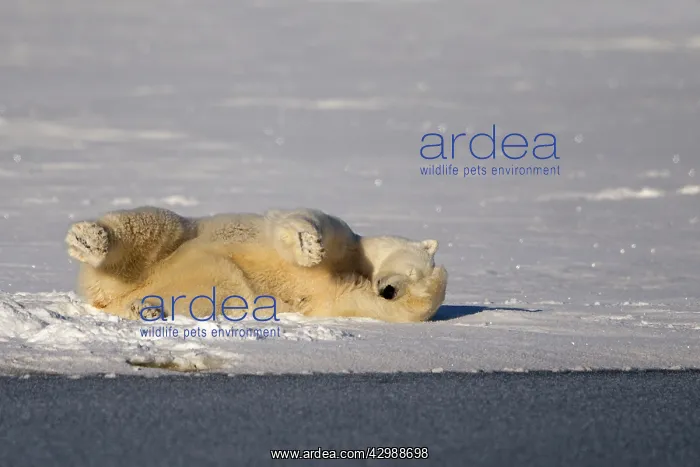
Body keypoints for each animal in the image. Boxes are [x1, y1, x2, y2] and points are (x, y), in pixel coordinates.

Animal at [65, 206, 448, 323]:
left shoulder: (343, 298)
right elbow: (313, 225)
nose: (389, 290)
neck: (361, 271)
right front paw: (308, 244)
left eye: (419, 290)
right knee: (151, 226)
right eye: (412, 271)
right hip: (178, 240)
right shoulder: (352, 244)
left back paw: (147, 308)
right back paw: (89, 240)